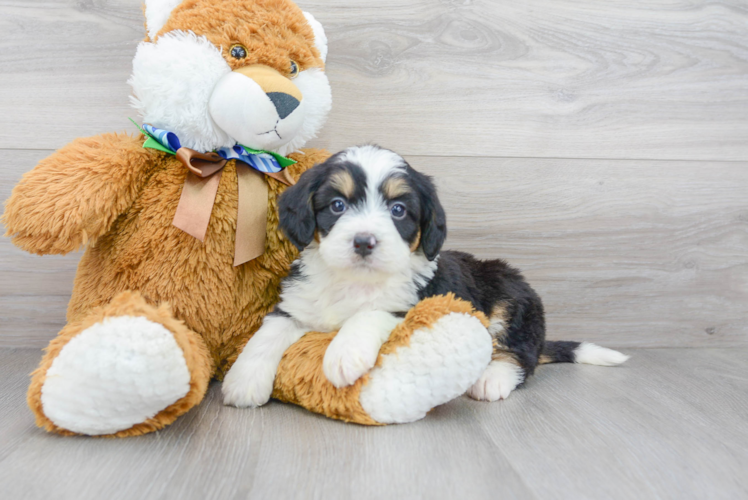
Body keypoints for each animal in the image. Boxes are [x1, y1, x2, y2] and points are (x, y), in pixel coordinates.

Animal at [224, 144, 632, 406]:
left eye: (399, 210)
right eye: (337, 205)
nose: (364, 242)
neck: (355, 280)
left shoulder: (414, 302)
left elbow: (370, 313)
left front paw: (343, 354)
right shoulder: (297, 303)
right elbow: (267, 333)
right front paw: (243, 381)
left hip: (511, 292)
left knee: (521, 353)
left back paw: (493, 377)